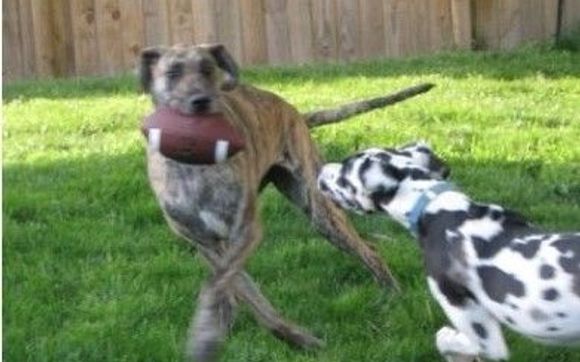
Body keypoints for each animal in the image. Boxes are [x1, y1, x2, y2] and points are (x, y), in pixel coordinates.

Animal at [138, 43, 432, 360]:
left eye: (207, 69)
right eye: (173, 73)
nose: (201, 101)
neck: (194, 166)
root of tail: (296, 113)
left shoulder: (246, 230)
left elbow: (224, 288)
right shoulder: (207, 245)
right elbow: (241, 293)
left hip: (319, 209)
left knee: (370, 250)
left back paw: (393, 295)